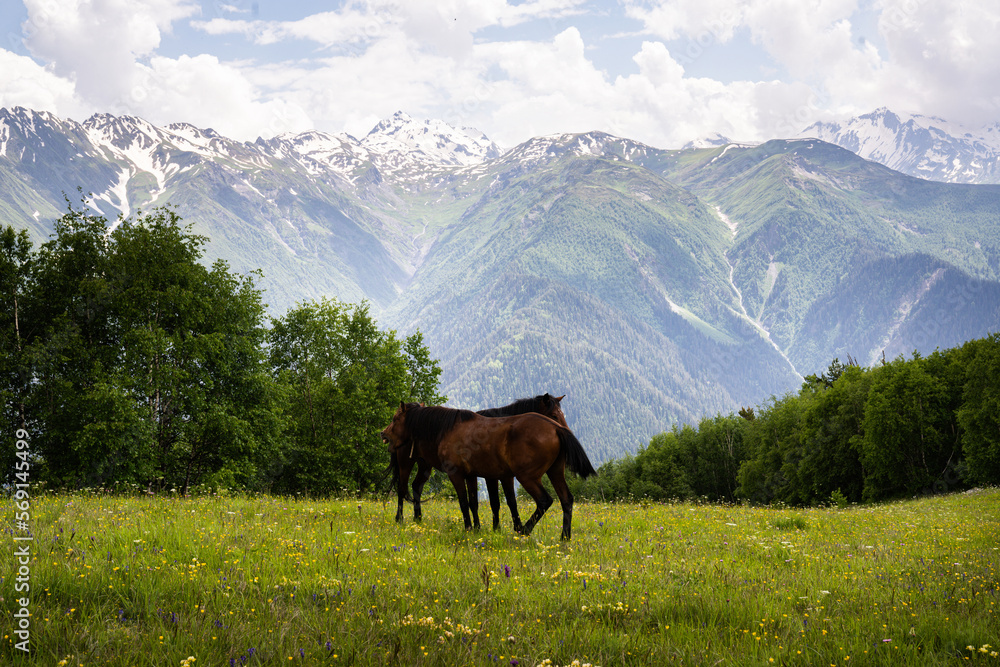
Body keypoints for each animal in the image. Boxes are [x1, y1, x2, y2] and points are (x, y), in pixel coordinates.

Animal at [382, 402, 596, 540]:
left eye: (395, 418)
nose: (383, 433)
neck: (448, 428)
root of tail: (555, 428)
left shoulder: (457, 474)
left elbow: (464, 503)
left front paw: (469, 528)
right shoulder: (474, 475)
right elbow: (475, 502)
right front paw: (478, 529)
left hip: (528, 477)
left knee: (545, 500)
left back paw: (525, 530)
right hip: (555, 472)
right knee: (566, 499)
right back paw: (564, 537)